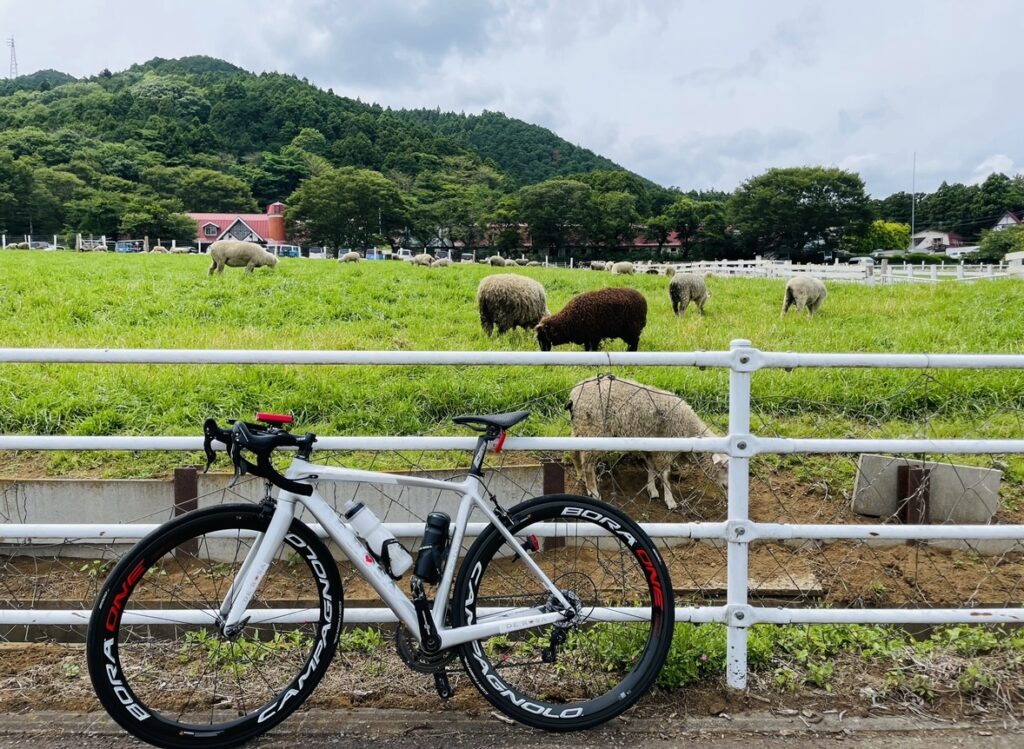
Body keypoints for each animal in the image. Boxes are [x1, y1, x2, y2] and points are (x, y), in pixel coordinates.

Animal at [569, 375, 729, 510]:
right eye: (724, 468)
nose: (728, 498)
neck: (688, 429)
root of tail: (574, 394)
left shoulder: (651, 444)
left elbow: (651, 466)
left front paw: (652, 489)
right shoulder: (665, 447)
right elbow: (666, 474)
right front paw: (670, 500)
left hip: (580, 428)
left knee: (575, 452)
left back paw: (581, 475)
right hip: (593, 430)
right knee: (588, 463)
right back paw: (593, 491)